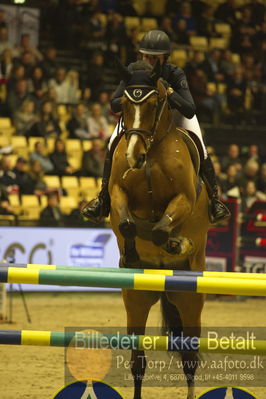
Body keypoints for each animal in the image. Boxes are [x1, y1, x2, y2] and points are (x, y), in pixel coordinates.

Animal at [108, 60, 210, 399]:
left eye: (154, 104)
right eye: (126, 106)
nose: (133, 156)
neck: (151, 152)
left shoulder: (184, 198)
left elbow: (160, 231)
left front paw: (179, 244)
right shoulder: (117, 192)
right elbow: (126, 222)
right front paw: (130, 254)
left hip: (190, 301)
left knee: (190, 357)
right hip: (136, 299)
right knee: (138, 360)